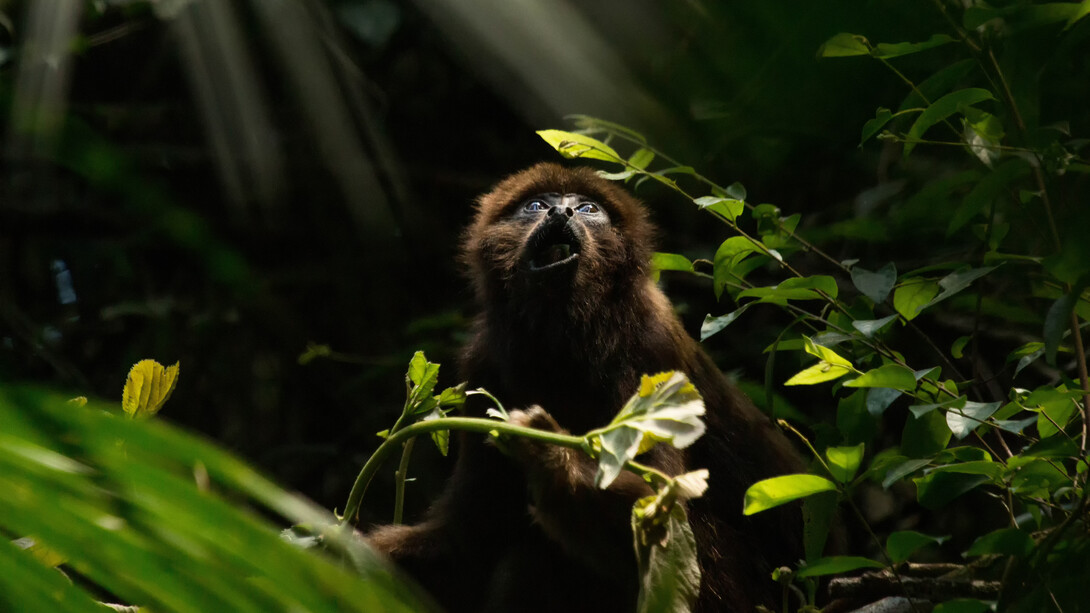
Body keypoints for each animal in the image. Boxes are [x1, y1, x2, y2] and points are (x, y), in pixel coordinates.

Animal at [366, 163, 804, 612]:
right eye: (535, 205)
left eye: (589, 208)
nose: (561, 212)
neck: (567, 337)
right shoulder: (482, 367)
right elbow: (466, 537)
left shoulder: (651, 349)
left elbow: (664, 510)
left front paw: (550, 455)